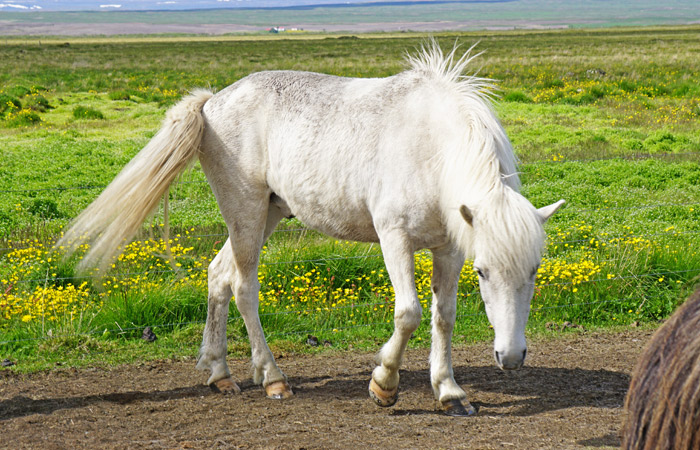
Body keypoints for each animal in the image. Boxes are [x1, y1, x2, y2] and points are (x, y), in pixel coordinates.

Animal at [58, 41, 564, 416]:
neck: (432, 148)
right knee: (243, 287)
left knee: (218, 275)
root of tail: (213, 101)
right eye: (484, 272)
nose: (511, 357)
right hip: (244, 212)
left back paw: (221, 374)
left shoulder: (449, 248)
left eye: (534, 271)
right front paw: (384, 385)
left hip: (266, 214)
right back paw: (273, 379)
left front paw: (449, 391)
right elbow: (409, 314)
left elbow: (444, 317)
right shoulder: (395, 239)